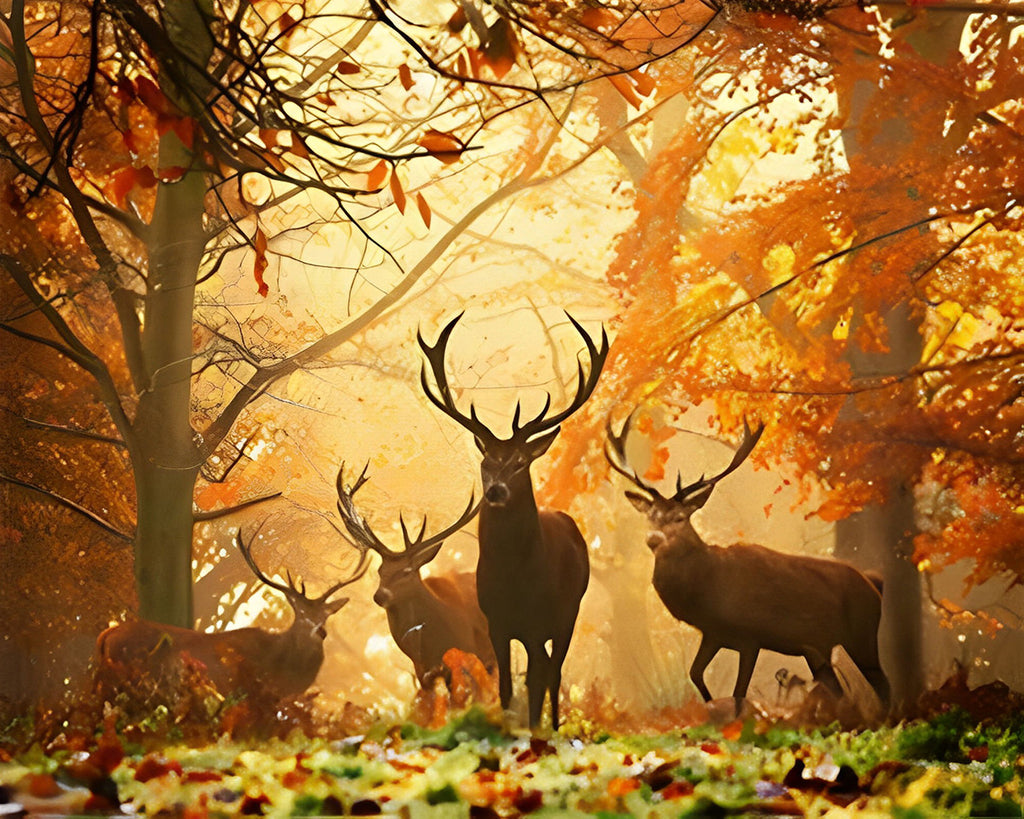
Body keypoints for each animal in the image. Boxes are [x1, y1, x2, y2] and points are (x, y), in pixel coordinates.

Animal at [417, 313, 606, 728]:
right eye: (486, 462)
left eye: (520, 462)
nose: (496, 491)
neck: (514, 580)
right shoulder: (497, 624)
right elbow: (505, 686)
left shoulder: (539, 620)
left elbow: (537, 680)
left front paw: (535, 732)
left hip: (569, 612)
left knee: (553, 673)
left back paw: (554, 726)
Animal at [606, 413, 888, 712]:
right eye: (651, 517)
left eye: (680, 517)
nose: (653, 538)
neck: (706, 591)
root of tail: (874, 585)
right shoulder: (713, 633)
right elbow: (695, 674)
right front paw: (711, 708)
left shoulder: (751, 635)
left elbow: (739, 693)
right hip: (816, 648)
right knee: (839, 690)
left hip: (863, 633)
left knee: (884, 686)